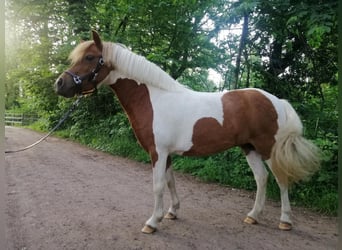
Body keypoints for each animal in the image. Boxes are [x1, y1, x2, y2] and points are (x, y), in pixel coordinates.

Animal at [54, 31, 320, 234]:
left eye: (90, 57)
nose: (60, 84)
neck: (153, 99)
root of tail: (276, 100)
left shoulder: (158, 152)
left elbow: (158, 185)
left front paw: (152, 222)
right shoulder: (167, 154)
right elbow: (171, 181)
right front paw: (171, 213)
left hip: (268, 148)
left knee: (281, 179)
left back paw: (285, 221)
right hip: (249, 148)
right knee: (261, 178)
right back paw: (253, 216)